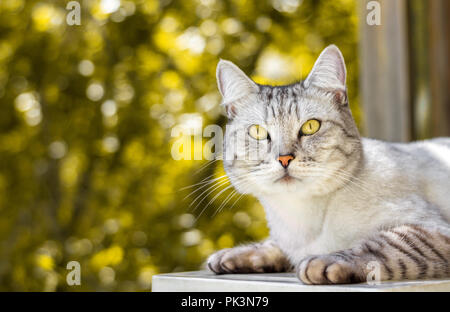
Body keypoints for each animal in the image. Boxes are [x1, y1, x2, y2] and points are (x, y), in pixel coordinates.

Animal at [207, 45, 450, 284]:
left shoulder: (431, 228)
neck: (299, 221)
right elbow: (272, 245)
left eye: (311, 127)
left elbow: (379, 246)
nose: (284, 158)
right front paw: (232, 255)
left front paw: (323, 262)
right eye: (257, 132)